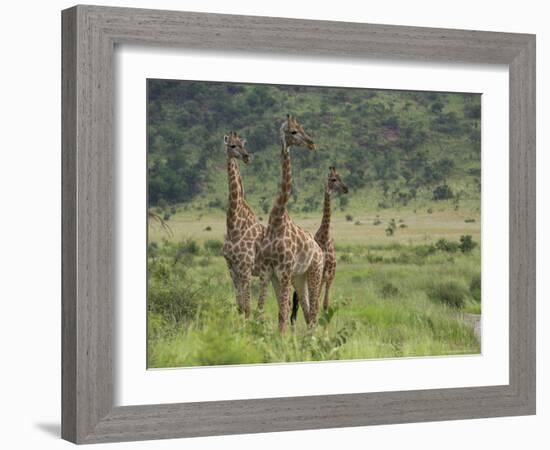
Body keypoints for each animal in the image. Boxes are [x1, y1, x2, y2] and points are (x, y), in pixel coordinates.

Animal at [258, 116, 328, 334]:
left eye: (302, 128)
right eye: (294, 131)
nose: (311, 143)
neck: (277, 220)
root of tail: (320, 251)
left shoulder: (284, 270)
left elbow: (283, 311)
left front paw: (281, 338)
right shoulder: (268, 272)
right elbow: (261, 308)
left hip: (314, 272)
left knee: (313, 310)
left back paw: (311, 338)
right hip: (300, 278)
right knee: (306, 310)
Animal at [288, 166, 350, 324]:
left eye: (341, 177)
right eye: (333, 179)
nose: (346, 189)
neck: (325, 236)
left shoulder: (331, 275)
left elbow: (325, 305)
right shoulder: (321, 274)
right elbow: (315, 305)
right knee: (296, 304)